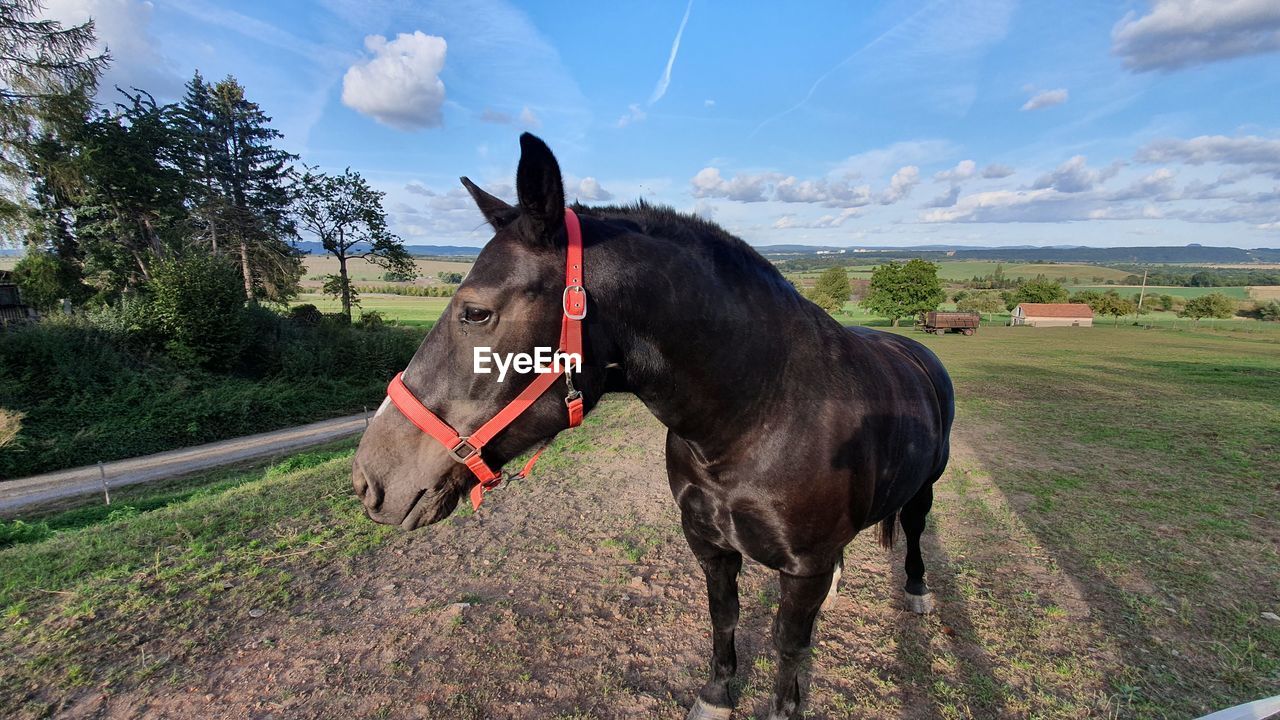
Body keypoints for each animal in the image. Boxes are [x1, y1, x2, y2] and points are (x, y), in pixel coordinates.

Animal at [355, 134, 957, 717]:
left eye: (476, 312)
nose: (368, 480)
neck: (758, 416)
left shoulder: (802, 567)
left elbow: (789, 646)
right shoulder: (711, 546)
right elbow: (725, 618)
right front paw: (717, 695)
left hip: (925, 488)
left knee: (915, 529)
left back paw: (917, 591)